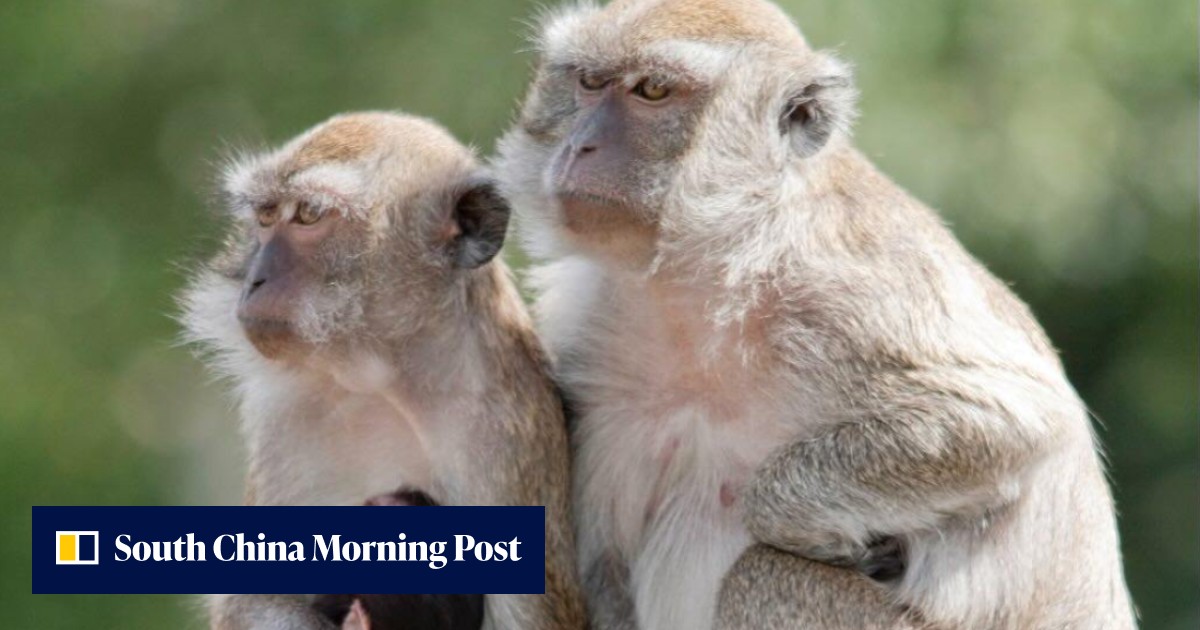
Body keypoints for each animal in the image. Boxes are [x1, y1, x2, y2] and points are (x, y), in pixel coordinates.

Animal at [179, 111, 587, 630]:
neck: (385, 378)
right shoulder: (285, 414)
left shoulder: (505, 434)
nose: (254, 278)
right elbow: (256, 603)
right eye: (267, 217)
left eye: (308, 215)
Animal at [495, 1, 1137, 629]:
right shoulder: (591, 338)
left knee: (759, 577)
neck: (708, 275)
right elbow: (603, 573)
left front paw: (798, 522)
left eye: (652, 90)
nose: (580, 146)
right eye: (588, 82)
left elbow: (1012, 419)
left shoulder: (851, 293)